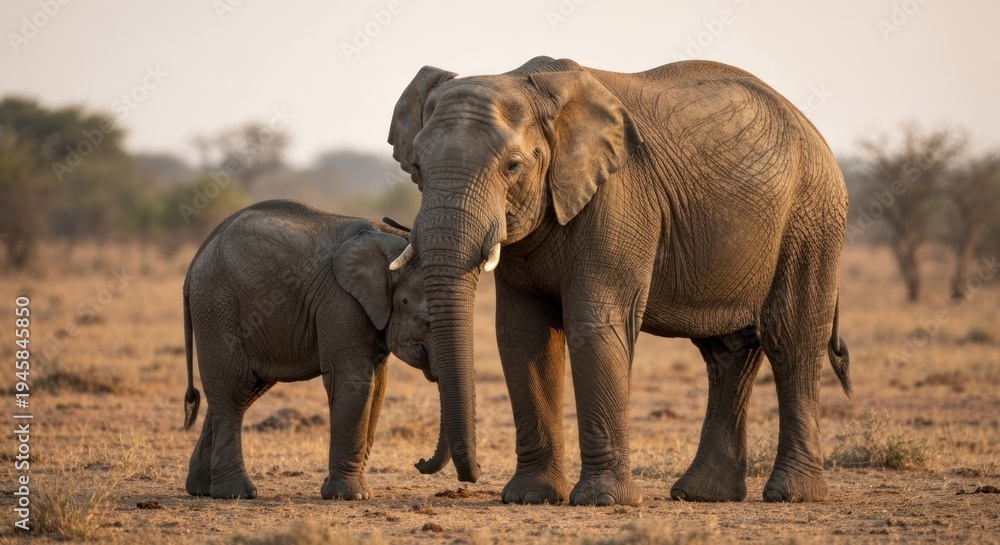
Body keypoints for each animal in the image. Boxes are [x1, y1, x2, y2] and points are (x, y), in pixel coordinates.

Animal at [181, 199, 450, 500]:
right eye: (425, 322)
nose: (419, 463)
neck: (393, 242)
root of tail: (195, 262)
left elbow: (378, 388)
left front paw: (357, 493)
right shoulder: (341, 300)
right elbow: (353, 379)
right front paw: (350, 496)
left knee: (244, 389)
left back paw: (200, 489)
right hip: (217, 306)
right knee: (234, 388)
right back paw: (236, 493)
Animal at [385, 56, 852, 506]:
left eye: (513, 166)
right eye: (417, 168)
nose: (431, 466)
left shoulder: (618, 197)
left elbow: (595, 325)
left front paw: (601, 501)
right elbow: (522, 335)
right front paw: (530, 498)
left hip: (812, 215)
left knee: (791, 338)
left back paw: (791, 495)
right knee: (729, 350)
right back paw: (703, 494)